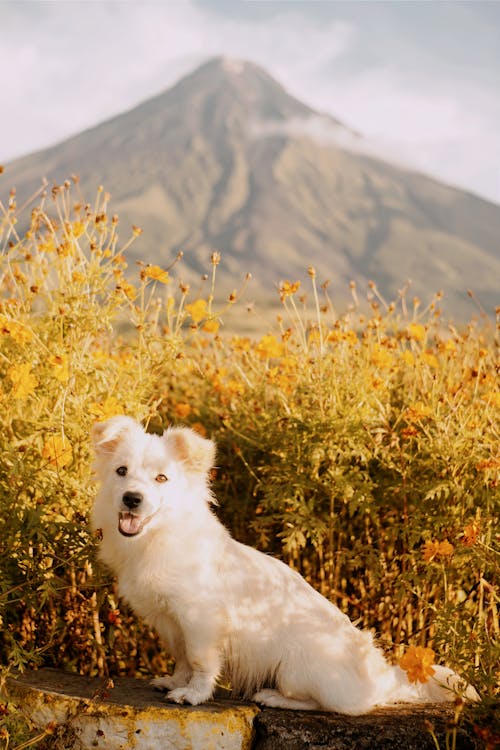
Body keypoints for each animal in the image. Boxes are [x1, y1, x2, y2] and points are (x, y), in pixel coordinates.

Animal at [93, 418, 472, 716]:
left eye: (161, 479)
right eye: (121, 472)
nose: (131, 499)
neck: (156, 537)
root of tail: (380, 679)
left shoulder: (200, 621)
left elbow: (200, 662)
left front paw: (194, 694)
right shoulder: (171, 623)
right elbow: (182, 658)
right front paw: (174, 681)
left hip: (295, 666)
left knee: (332, 705)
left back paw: (273, 697)